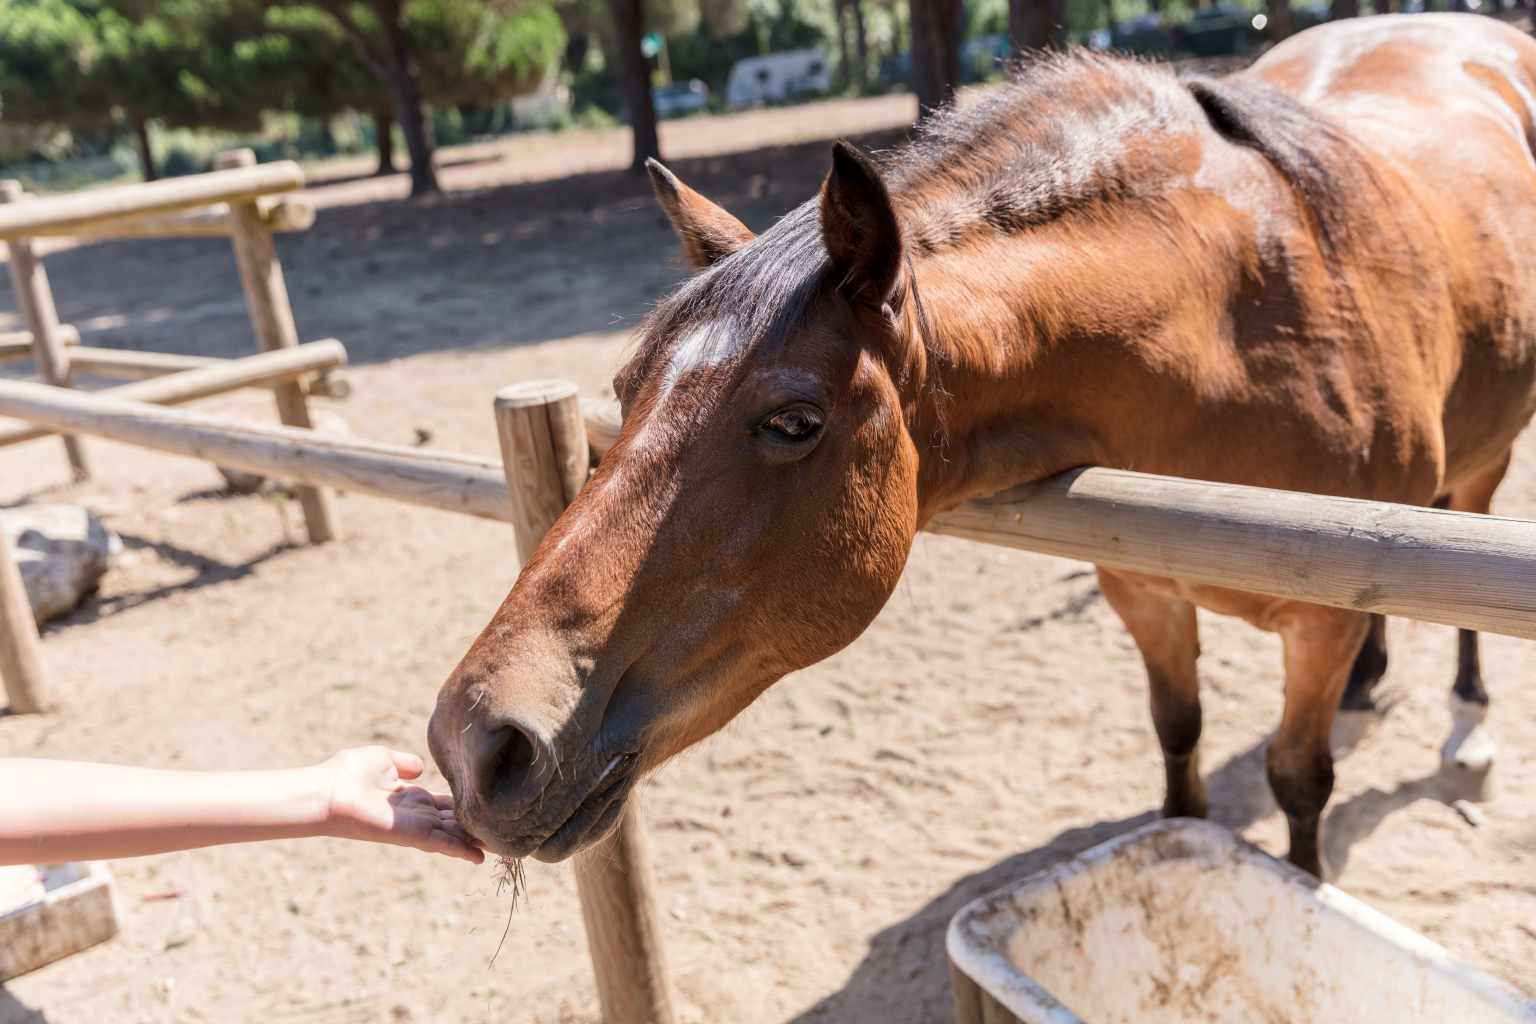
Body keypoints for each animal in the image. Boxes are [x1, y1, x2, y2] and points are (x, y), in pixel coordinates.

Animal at [429, 13, 1536, 878]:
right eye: (625, 392)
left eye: (793, 422)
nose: (477, 745)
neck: (1235, 326)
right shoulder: (1144, 591)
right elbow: (1179, 749)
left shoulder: (1314, 621)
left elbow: (1299, 784)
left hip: (1486, 458)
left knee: (1461, 542)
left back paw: (1468, 722)